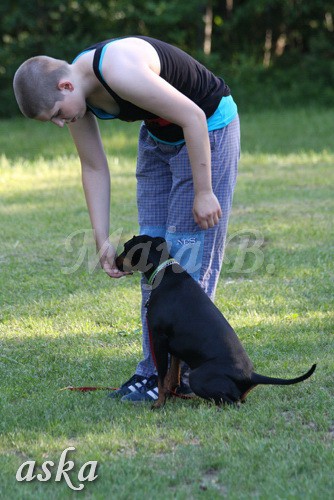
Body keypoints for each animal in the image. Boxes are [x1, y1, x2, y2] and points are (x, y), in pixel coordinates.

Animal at [115, 236, 316, 408]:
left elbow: (162, 378)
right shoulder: (175, 348)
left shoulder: (159, 339)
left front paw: (158, 404)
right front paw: (170, 397)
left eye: (125, 247)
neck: (164, 273)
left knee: (233, 403)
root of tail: (251, 376)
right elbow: (173, 377)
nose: (114, 261)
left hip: (197, 376)